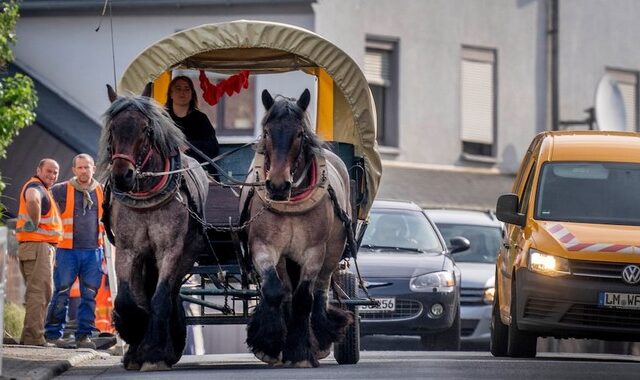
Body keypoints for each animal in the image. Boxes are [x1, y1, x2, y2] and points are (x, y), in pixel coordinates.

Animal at [97, 87, 209, 372]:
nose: (122, 176)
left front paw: (154, 352)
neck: (147, 196)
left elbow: (160, 297)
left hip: (185, 255)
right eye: (112, 129)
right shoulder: (127, 249)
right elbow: (127, 298)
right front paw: (134, 334)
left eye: (146, 129)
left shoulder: (170, 250)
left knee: (169, 293)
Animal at [244, 90, 358, 368]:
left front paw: (299, 352)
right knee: (286, 290)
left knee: (320, 292)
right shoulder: (264, 247)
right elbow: (275, 291)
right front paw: (269, 343)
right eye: (266, 132)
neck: (291, 202)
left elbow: (304, 298)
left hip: (332, 252)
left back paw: (320, 336)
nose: (276, 185)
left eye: (299, 134)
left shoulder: (314, 252)